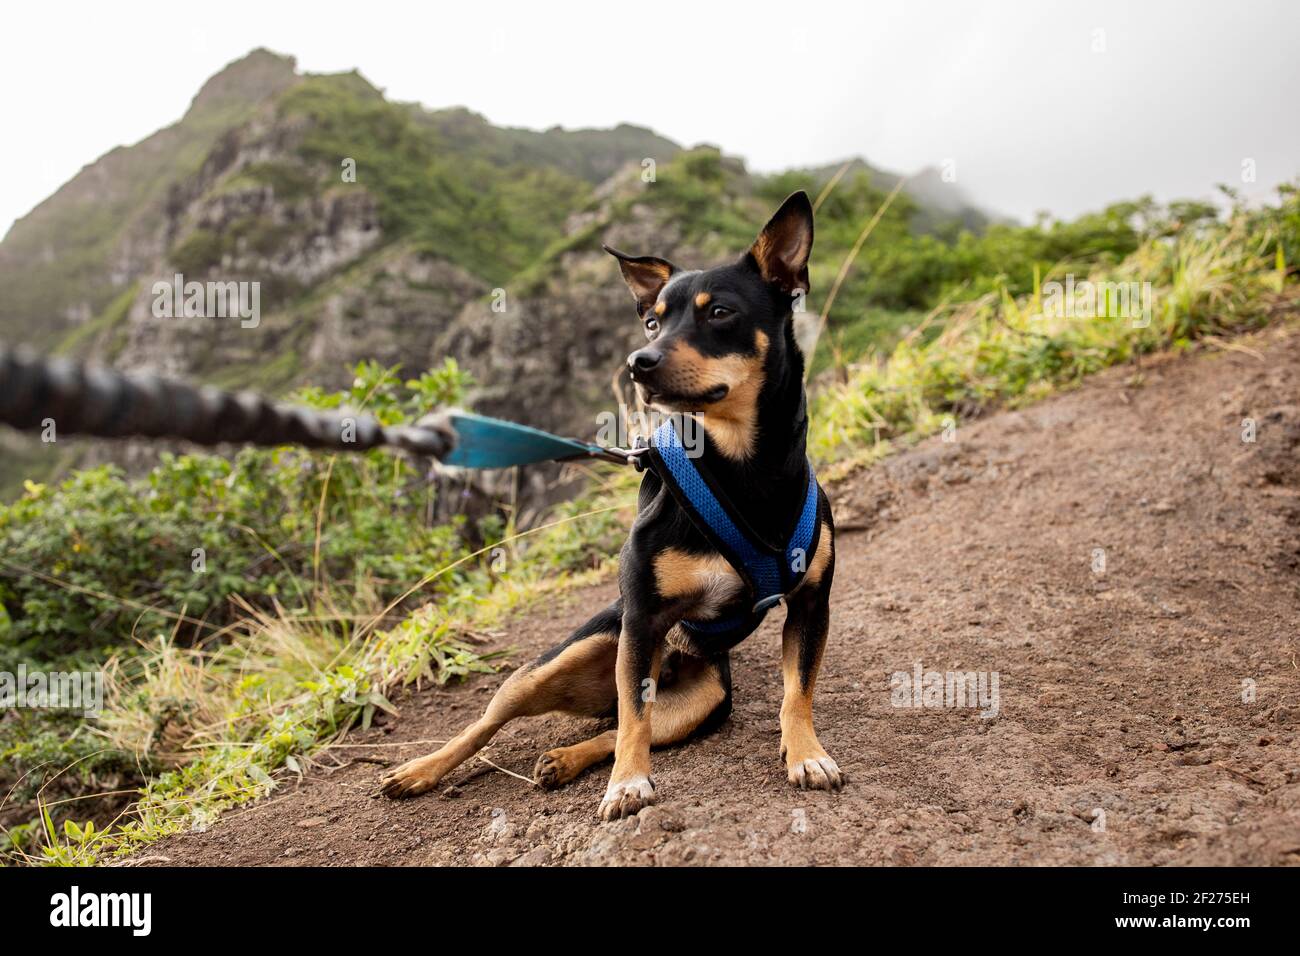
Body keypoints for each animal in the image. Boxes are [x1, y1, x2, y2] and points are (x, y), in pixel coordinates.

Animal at [379, 195, 842, 822]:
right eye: (652, 322)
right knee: (501, 722)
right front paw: (627, 785)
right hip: (568, 659)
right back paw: (422, 770)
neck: (742, 467)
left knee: (621, 723)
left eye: (719, 312)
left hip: (704, 697)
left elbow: (799, 691)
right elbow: (633, 725)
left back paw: (562, 760)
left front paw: (806, 753)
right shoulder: (642, 618)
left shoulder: (811, 605)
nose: (636, 362)